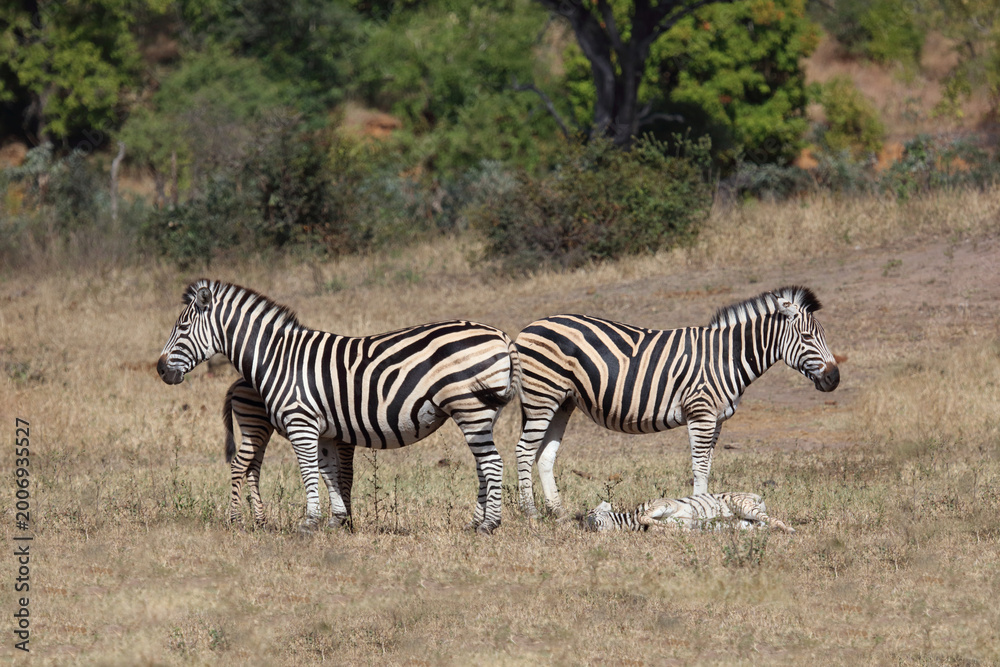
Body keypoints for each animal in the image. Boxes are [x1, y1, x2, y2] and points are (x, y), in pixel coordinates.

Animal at [158, 279, 520, 533]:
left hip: (471, 408)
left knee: (492, 463)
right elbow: (331, 472)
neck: (277, 358)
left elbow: (308, 471)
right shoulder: (326, 430)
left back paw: (489, 525)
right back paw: (475, 523)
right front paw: (337, 520)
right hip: (480, 413)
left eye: (183, 327)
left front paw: (310, 521)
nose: (160, 369)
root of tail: (501, 335)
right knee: (483, 465)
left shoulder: (301, 423)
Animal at [513, 286, 839, 518]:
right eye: (807, 337)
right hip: (542, 396)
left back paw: (558, 513)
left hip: (562, 401)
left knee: (545, 455)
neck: (726, 357)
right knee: (524, 451)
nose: (834, 378)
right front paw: (701, 511)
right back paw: (530, 514)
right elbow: (700, 467)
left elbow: (707, 465)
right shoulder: (701, 413)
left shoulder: (717, 419)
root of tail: (528, 328)